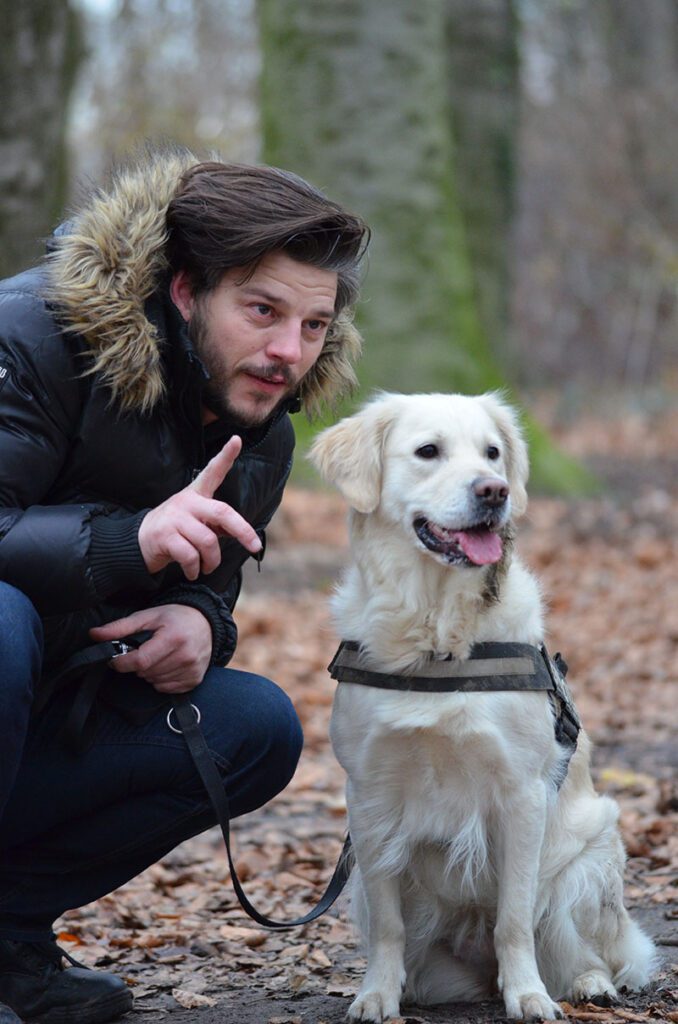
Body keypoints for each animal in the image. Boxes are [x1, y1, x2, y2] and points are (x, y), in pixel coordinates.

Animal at [311, 393, 655, 1024]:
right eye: (428, 451)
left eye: (493, 453)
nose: (494, 490)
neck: (437, 638)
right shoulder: (369, 799)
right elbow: (390, 927)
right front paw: (376, 994)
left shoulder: (521, 794)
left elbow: (514, 919)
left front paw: (528, 996)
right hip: (368, 894)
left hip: (585, 864)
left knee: (587, 951)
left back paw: (589, 984)